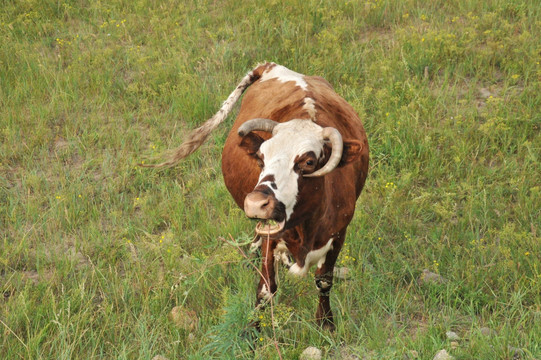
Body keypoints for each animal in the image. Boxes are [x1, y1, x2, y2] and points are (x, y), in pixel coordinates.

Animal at [146, 63, 370, 330]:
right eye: (261, 157)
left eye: (308, 162)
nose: (255, 203)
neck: (306, 229)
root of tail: (273, 65)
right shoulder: (271, 238)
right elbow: (266, 289)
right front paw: (253, 328)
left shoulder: (339, 234)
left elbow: (324, 282)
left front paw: (325, 322)